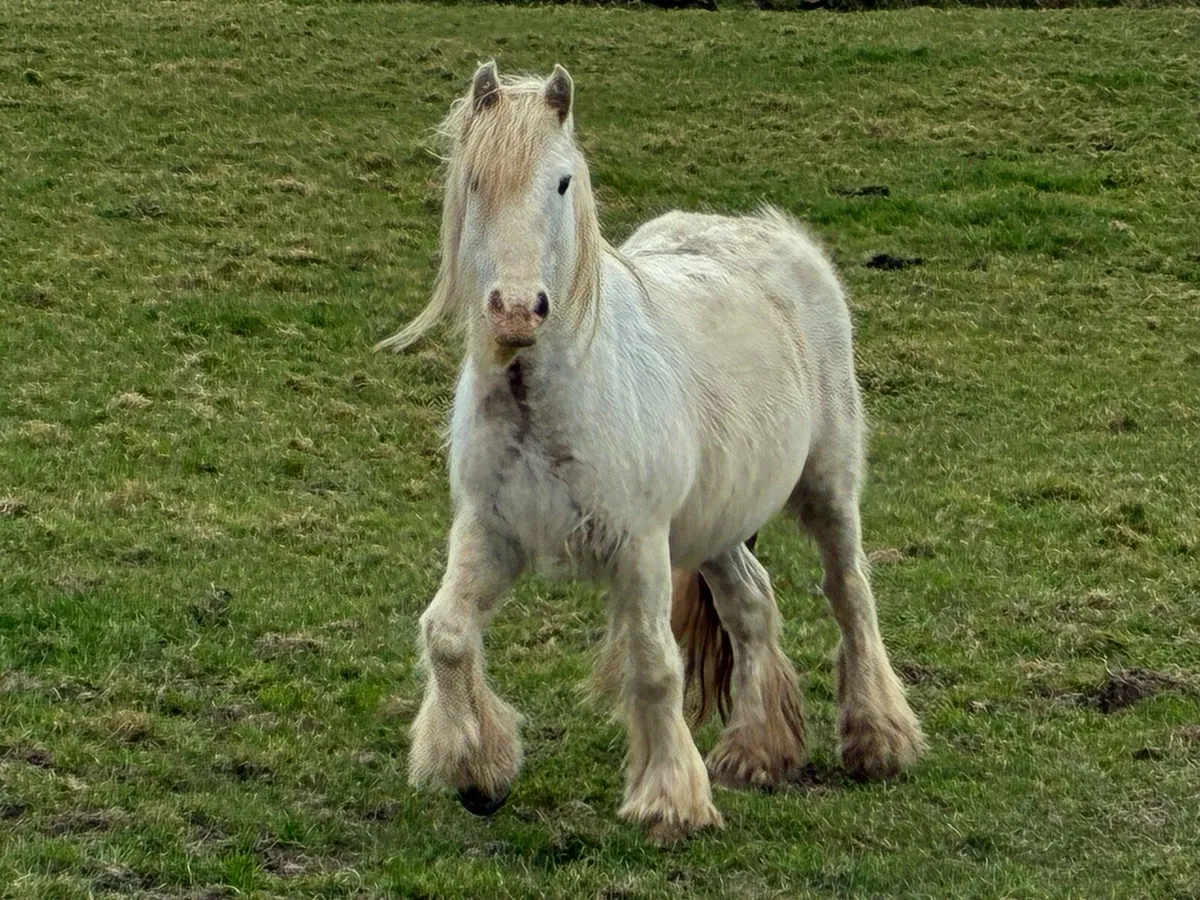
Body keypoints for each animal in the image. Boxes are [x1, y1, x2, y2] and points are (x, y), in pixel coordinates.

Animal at [378, 62, 924, 843]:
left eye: (562, 182)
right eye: (475, 180)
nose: (516, 311)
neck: (547, 395)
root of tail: (774, 235)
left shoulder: (638, 543)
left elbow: (653, 662)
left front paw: (669, 800)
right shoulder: (492, 531)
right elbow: (447, 632)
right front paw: (477, 772)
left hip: (826, 487)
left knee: (849, 592)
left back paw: (879, 740)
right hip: (717, 520)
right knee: (752, 603)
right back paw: (757, 752)